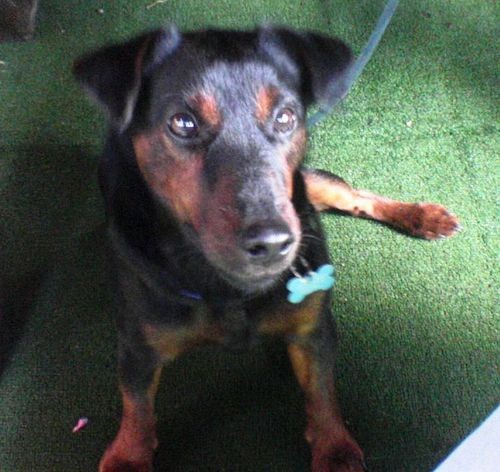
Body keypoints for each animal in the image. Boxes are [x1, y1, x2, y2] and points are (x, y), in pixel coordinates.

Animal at [72, 25, 458, 472]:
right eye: (183, 123)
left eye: (286, 117)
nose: (273, 242)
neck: (224, 284)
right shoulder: (139, 347)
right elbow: (136, 408)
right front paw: (128, 456)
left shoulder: (313, 330)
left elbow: (323, 395)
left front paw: (335, 450)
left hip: (306, 185)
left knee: (353, 194)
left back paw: (422, 216)